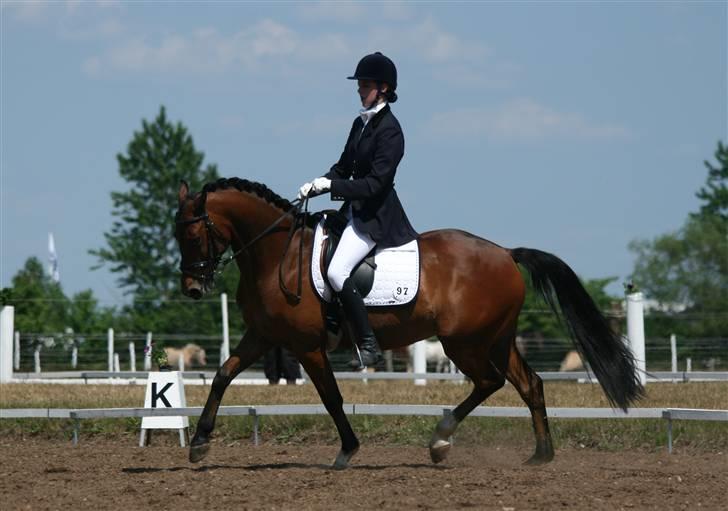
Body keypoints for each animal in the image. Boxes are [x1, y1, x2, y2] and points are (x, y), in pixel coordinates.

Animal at [176, 178, 644, 470]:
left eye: (193, 235)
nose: (192, 289)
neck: (278, 255)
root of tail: (506, 253)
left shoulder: (307, 346)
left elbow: (331, 398)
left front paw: (347, 451)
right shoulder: (263, 336)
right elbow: (222, 374)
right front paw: (199, 444)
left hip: (464, 342)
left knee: (490, 382)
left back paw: (441, 440)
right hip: (496, 338)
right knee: (528, 384)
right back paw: (540, 455)